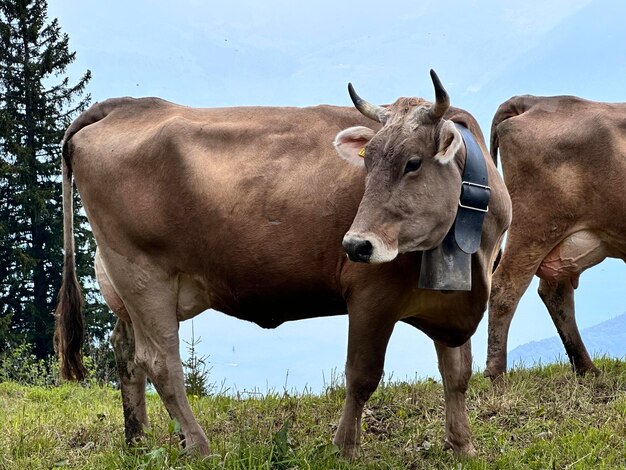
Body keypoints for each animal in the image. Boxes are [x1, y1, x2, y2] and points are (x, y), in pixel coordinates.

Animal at [56, 71, 510, 458]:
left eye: (412, 163)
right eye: (367, 162)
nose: (355, 244)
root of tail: (126, 105)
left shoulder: (453, 296)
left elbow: (457, 373)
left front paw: (462, 445)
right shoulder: (371, 294)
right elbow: (362, 375)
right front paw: (345, 448)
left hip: (123, 282)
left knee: (125, 352)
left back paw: (138, 439)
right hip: (141, 271)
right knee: (160, 362)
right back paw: (198, 445)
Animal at [486, 94, 624, 378]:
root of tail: (535, 100)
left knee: (555, 293)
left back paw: (586, 369)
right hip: (534, 224)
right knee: (505, 287)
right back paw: (497, 375)